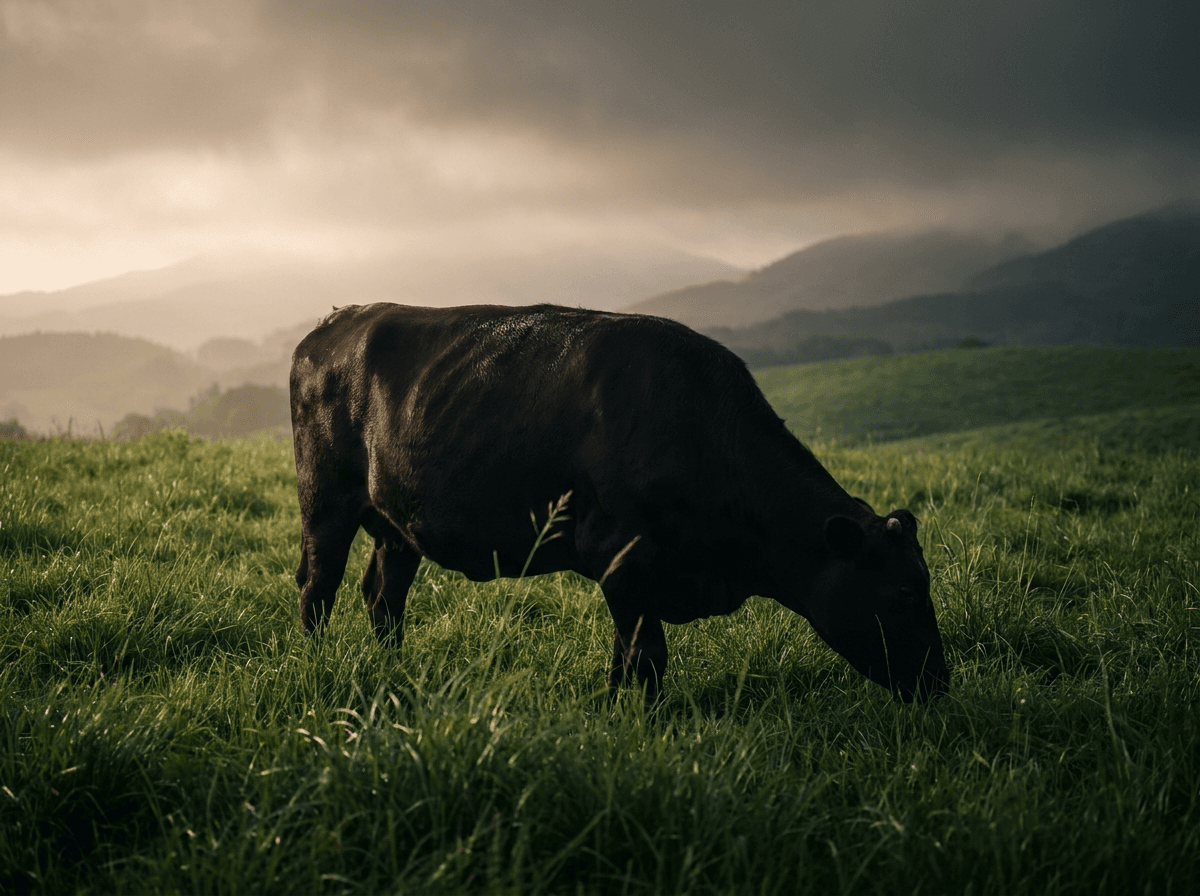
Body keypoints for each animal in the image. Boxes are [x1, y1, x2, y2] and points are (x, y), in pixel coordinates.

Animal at [289, 303, 950, 703]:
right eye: (906, 591)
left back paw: (394, 670)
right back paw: (317, 666)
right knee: (319, 586)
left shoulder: (638, 577)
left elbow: (626, 655)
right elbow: (647, 657)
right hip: (325, 500)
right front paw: (640, 720)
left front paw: (614, 707)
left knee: (384, 595)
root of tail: (340, 318)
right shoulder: (624, 557)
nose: (941, 682)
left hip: (397, 522)